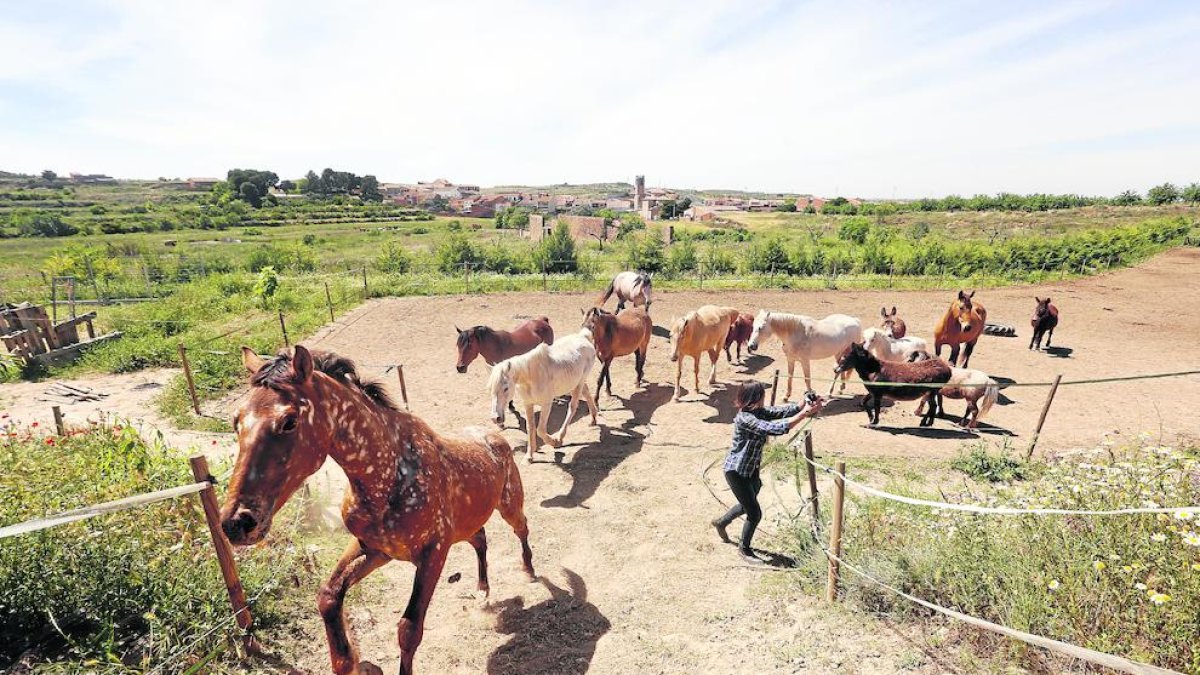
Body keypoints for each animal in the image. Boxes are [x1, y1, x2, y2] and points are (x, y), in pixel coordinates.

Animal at [217, 345, 535, 672]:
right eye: (236, 421)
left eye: (289, 421)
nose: (237, 522)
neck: (389, 476)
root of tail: (496, 439)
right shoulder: (374, 549)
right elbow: (328, 596)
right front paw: (354, 663)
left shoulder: (433, 554)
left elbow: (409, 630)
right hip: (465, 525)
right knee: (480, 539)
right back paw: (483, 589)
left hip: (509, 506)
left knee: (522, 528)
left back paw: (529, 569)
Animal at [487, 326, 600, 461]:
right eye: (490, 389)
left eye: (505, 388)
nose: (495, 418)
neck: (532, 376)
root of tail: (584, 337)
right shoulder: (528, 404)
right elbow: (530, 428)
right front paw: (529, 455)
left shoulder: (546, 404)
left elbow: (540, 430)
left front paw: (554, 442)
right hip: (576, 382)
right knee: (587, 393)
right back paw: (593, 419)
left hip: (579, 383)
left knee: (572, 407)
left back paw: (560, 437)